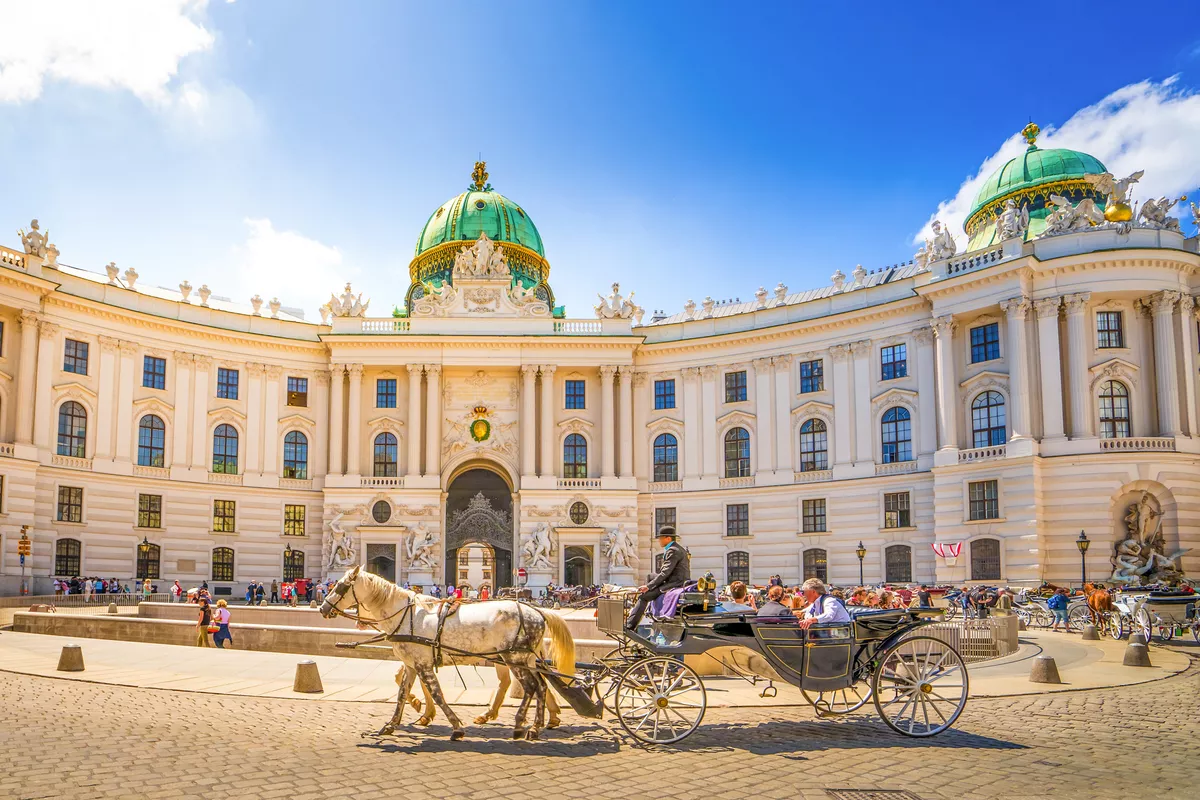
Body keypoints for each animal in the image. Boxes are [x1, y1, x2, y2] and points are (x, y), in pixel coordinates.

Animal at [319, 566, 571, 743]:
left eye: (339, 586)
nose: (322, 608)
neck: (406, 615)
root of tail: (537, 610)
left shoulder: (422, 664)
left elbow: (437, 694)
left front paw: (456, 727)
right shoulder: (412, 665)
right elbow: (401, 694)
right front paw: (392, 724)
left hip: (514, 659)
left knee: (531, 687)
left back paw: (521, 725)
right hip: (526, 659)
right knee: (541, 686)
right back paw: (536, 726)